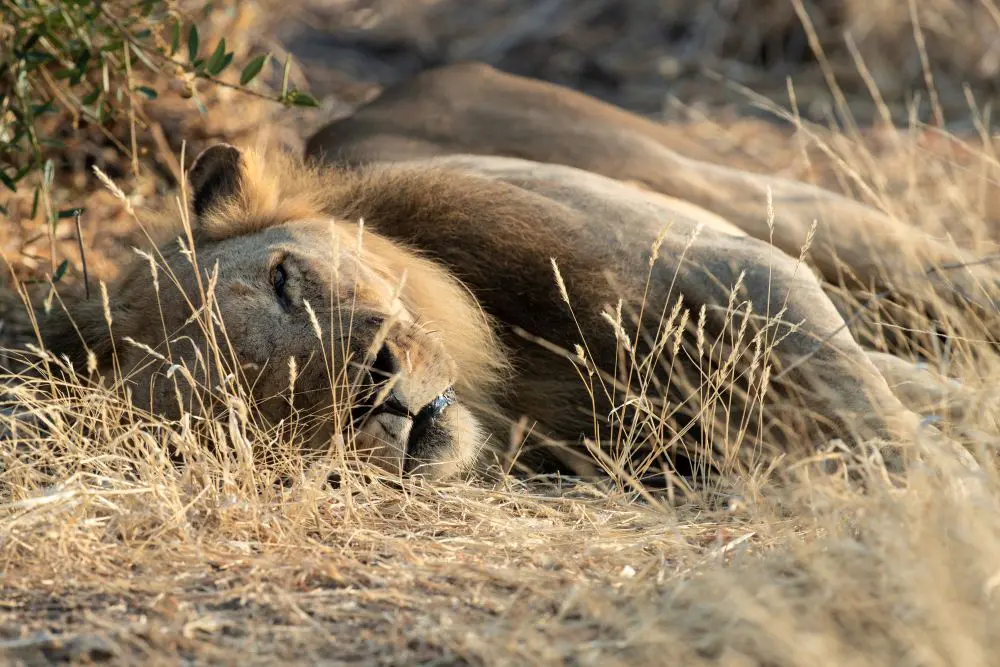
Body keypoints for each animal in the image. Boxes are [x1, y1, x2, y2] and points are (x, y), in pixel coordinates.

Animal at [36, 63, 987, 485]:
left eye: (284, 278)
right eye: (239, 399)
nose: (376, 383)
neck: (508, 380)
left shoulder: (734, 268)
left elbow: (884, 422)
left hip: (771, 202)